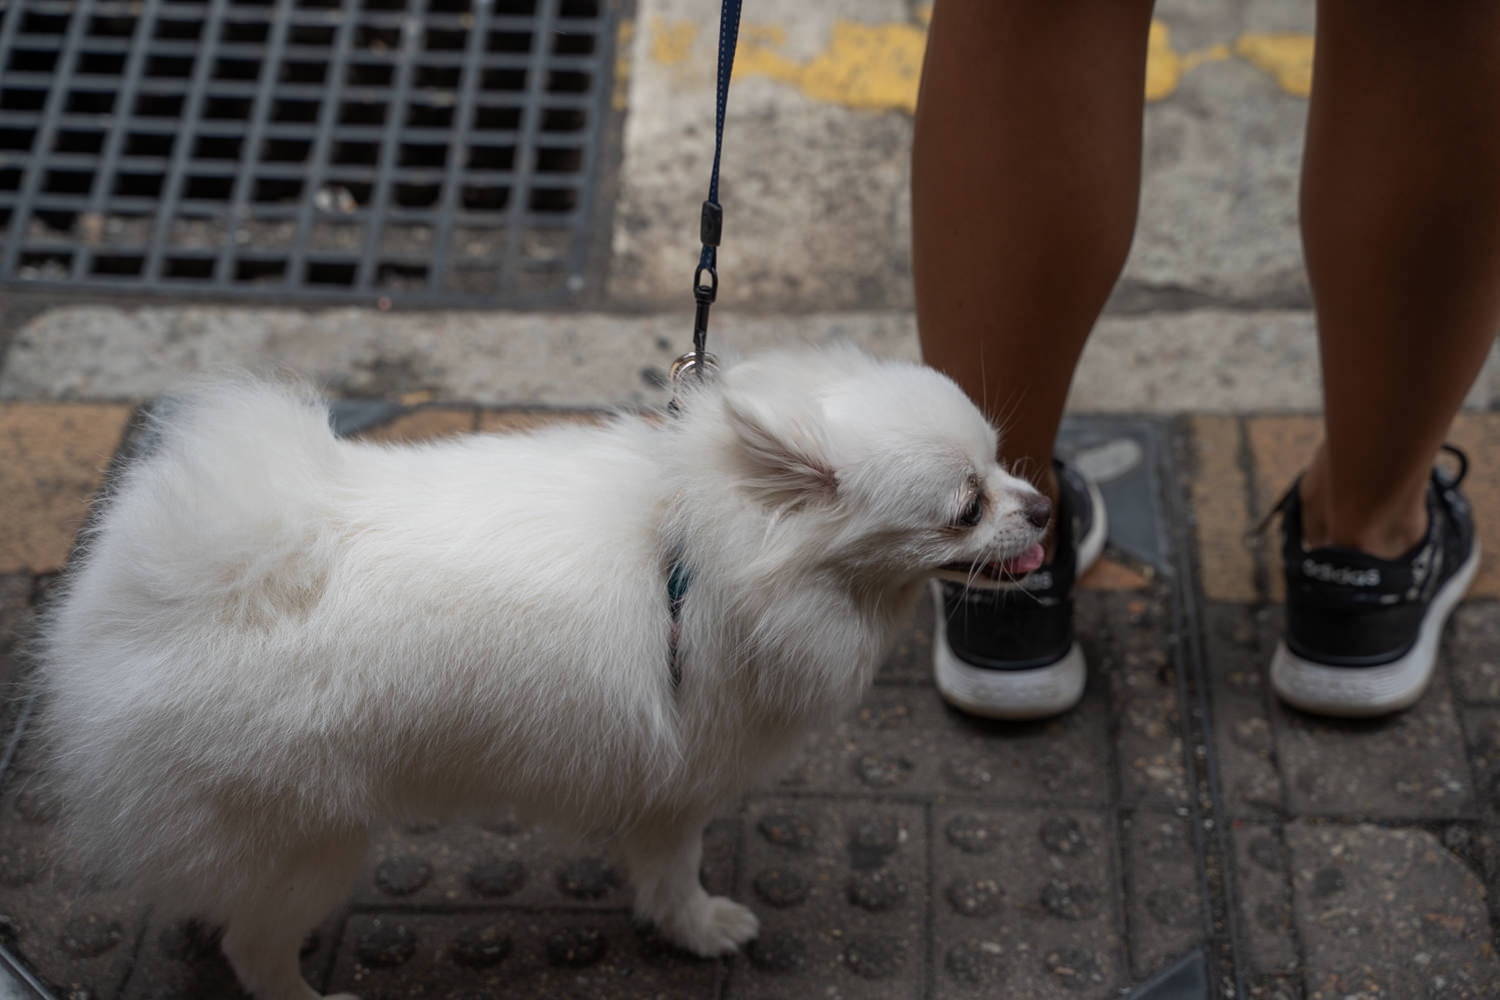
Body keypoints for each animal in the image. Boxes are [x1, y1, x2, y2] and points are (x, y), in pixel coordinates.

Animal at [32, 346, 1044, 1000]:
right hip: (312, 841)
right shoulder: (680, 782)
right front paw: (703, 930)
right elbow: (674, 875)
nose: (1041, 508)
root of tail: (159, 587)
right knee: (257, 948)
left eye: (1001, 460)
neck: (700, 554)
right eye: (965, 507)